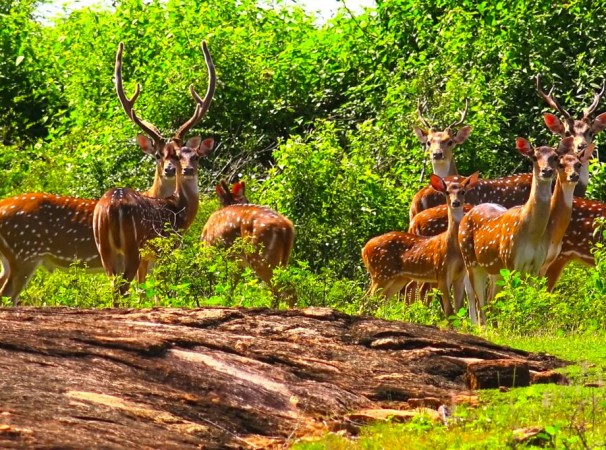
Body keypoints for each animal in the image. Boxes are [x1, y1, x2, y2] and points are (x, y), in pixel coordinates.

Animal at [93, 41, 216, 301]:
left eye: (181, 155)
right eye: (160, 155)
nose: (178, 170)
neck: (178, 209)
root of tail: (111, 208)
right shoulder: (164, 249)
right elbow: (159, 290)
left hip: (104, 249)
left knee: (114, 289)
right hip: (133, 247)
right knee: (123, 289)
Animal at [362, 172, 479, 318]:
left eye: (462, 191)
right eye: (447, 192)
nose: (455, 202)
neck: (453, 248)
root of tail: (364, 249)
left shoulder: (459, 276)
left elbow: (458, 310)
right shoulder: (441, 272)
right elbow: (449, 311)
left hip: (396, 278)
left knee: (379, 300)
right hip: (381, 272)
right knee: (367, 300)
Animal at [458, 136, 576, 325]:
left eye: (555, 157)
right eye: (534, 157)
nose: (546, 171)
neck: (532, 233)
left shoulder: (536, 265)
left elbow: (531, 297)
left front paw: (529, 322)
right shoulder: (511, 261)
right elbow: (512, 298)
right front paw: (512, 323)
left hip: (495, 269)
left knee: (489, 298)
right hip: (470, 259)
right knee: (479, 300)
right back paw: (481, 326)